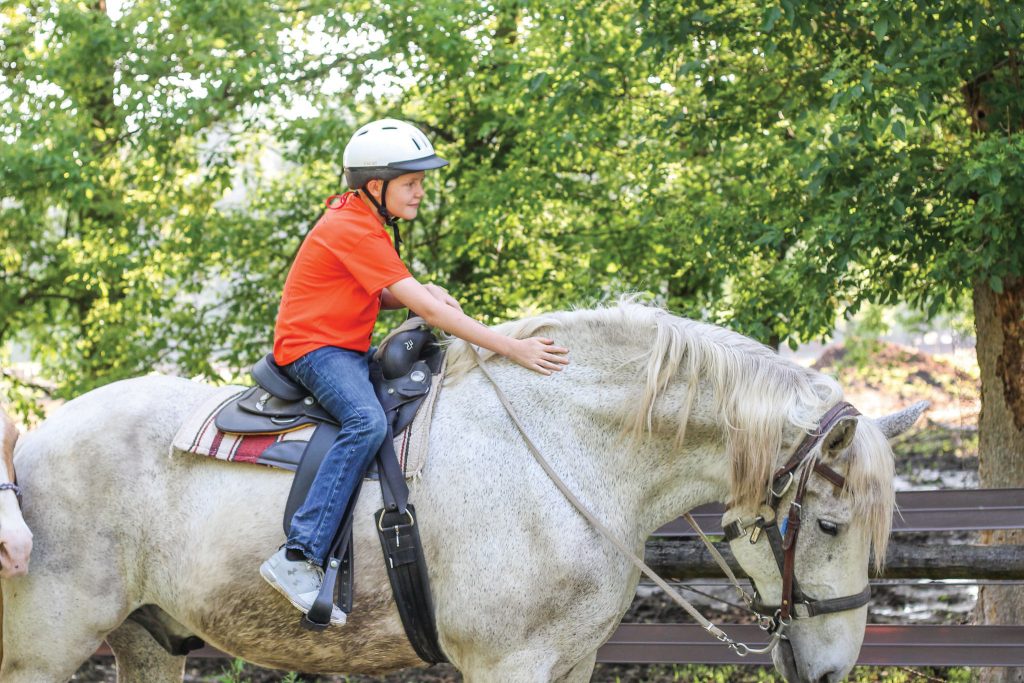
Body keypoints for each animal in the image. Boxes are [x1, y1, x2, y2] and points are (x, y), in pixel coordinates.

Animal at [0, 305, 913, 683]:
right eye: (831, 525)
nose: (832, 669)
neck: (567, 447)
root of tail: (30, 442)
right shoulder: (509, 664)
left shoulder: (571, 661)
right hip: (43, 650)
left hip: (149, 640)